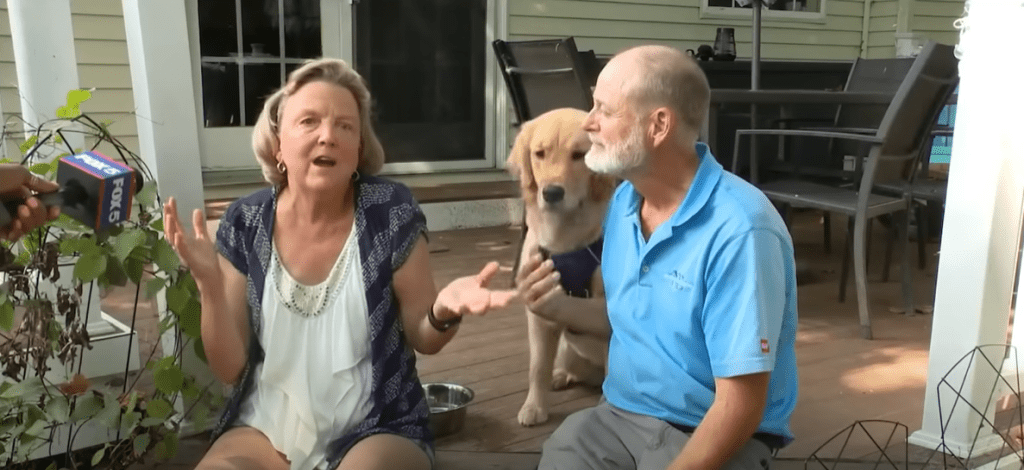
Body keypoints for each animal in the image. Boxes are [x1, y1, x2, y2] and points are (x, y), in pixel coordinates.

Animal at [505, 109, 614, 425]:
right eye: (539, 153)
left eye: (579, 155)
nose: (552, 193)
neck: (565, 237)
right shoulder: (538, 312)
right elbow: (537, 367)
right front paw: (534, 406)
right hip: (568, 349)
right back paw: (560, 375)